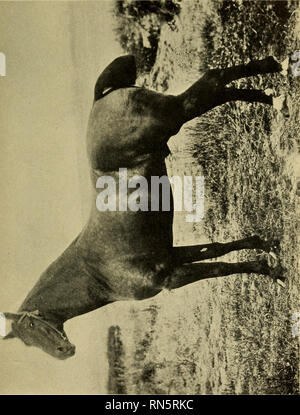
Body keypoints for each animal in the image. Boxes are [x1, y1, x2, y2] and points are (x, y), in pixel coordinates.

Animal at [2, 55, 286, 360]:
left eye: (31, 326)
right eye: (29, 340)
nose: (64, 351)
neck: (96, 272)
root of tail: (99, 98)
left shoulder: (171, 278)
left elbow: (220, 268)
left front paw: (271, 271)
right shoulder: (172, 257)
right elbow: (217, 249)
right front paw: (266, 245)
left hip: (176, 114)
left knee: (213, 80)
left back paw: (272, 80)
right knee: (222, 90)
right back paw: (271, 94)